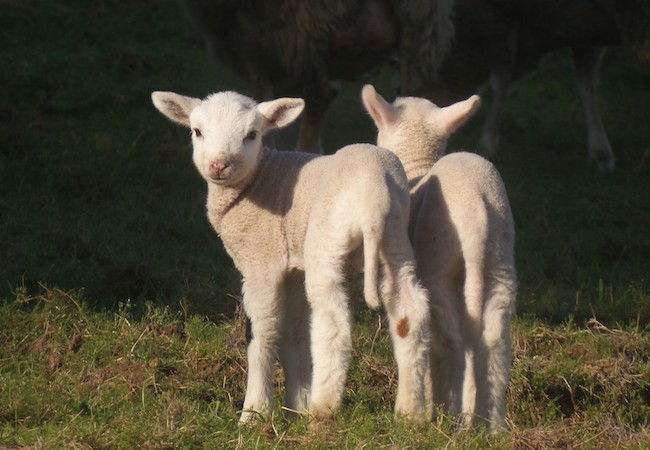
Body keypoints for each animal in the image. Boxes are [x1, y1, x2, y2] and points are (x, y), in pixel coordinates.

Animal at [152, 90, 430, 422]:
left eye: (252, 134)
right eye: (197, 131)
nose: (219, 165)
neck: (259, 179)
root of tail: (375, 193)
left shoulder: (262, 261)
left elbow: (263, 330)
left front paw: (256, 412)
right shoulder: (293, 266)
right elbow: (294, 333)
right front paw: (296, 404)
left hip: (327, 239)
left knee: (333, 321)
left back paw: (323, 409)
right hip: (396, 238)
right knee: (408, 310)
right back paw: (410, 413)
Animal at [360, 85, 516, 432]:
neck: (416, 169)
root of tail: (477, 215)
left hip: (439, 263)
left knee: (449, 338)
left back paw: (446, 412)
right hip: (500, 263)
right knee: (494, 336)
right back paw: (489, 426)